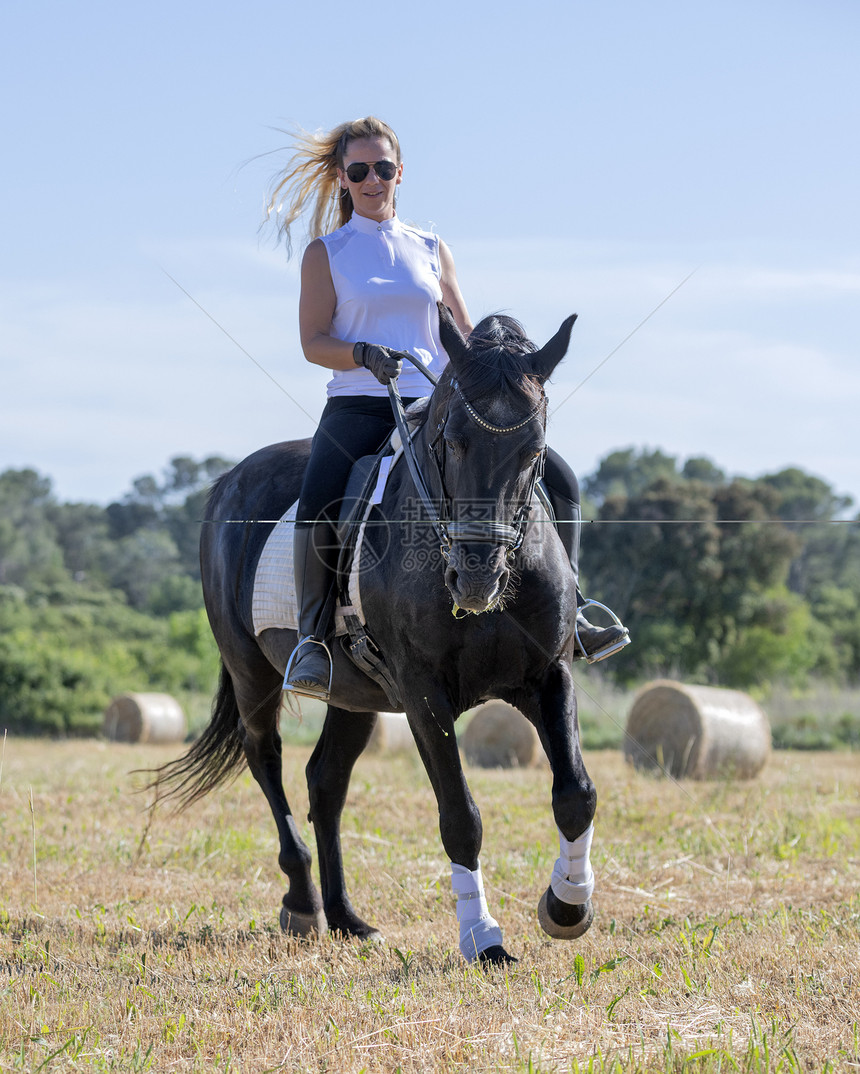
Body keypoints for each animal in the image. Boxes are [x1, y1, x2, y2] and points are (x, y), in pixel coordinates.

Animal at [151, 305, 596, 966]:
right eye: (452, 440)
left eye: (533, 449)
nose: (477, 576)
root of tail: (230, 478)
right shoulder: (421, 692)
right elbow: (460, 816)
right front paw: (483, 938)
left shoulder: (549, 675)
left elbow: (576, 794)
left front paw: (566, 906)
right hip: (252, 672)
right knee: (267, 759)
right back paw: (304, 903)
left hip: (355, 693)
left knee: (325, 782)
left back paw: (346, 917)